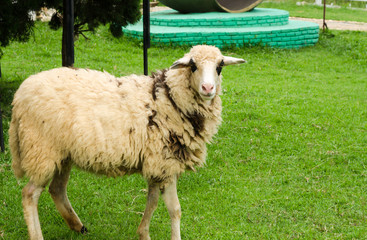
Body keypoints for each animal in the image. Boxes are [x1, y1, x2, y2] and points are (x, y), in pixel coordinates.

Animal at [10, 44, 246, 238]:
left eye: (220, 67)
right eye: (193, 66)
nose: (208, 89)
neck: (170, 98)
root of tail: (18, 97)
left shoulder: (158, 164)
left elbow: (155, 202)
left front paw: (143, 233)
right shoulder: (166, 163)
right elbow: (174, 209)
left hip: (62, 153)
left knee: (57, 190)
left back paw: (78, 226)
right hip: (41, 149)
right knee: (30, 194)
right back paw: (38, 234)